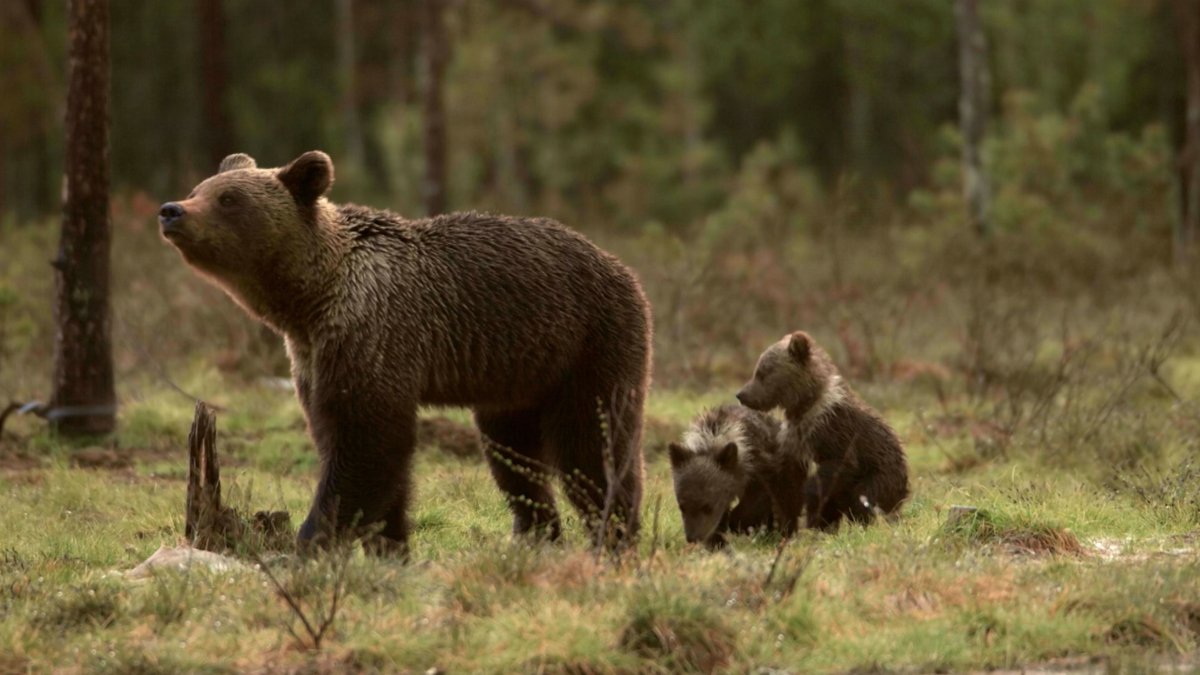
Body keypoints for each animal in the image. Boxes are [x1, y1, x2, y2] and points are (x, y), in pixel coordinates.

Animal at [158, 151, 653, 552]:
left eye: (228, 199)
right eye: (199, 188)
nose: (171, 210)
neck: (310, 299)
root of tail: (621, 266)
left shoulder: (373, 334)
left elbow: (367, 442)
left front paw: (313, 540)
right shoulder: (313, 355)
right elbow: (355, 444)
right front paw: (389, 542)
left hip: (590, 344)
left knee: (593, 446)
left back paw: (613, 536)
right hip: (518, 376)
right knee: (512, 454)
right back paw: (534, 536)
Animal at [667, 404, 807, 547]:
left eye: (707, 507)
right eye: (682, 506)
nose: (692, 538)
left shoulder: (760, 467)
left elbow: (759, 499)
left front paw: (738, 524)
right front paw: (717, 541)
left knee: (787, 501)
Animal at [736, 331, 908, 531]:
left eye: (763, 372)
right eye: (758, 370)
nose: (741, 395)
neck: (804, 404)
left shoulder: (835, 429)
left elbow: (839, 464)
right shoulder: (794, 439)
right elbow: (789, 481)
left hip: (881, 474)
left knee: (864, 499)